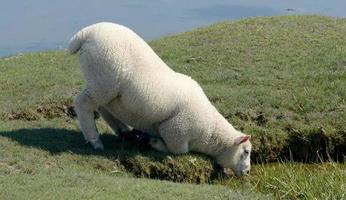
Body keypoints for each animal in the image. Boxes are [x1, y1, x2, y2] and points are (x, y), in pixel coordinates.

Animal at [68, 22, 251, 175]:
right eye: (246, 152)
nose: (248, 172)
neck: (211, 133)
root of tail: (86, 33)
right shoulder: (175, 131)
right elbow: (179, 151)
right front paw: (155, 143)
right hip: (103, 80)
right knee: (82, 103)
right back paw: (95, 141)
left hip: (104, 87)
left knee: (102, 107)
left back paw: (124, 132)